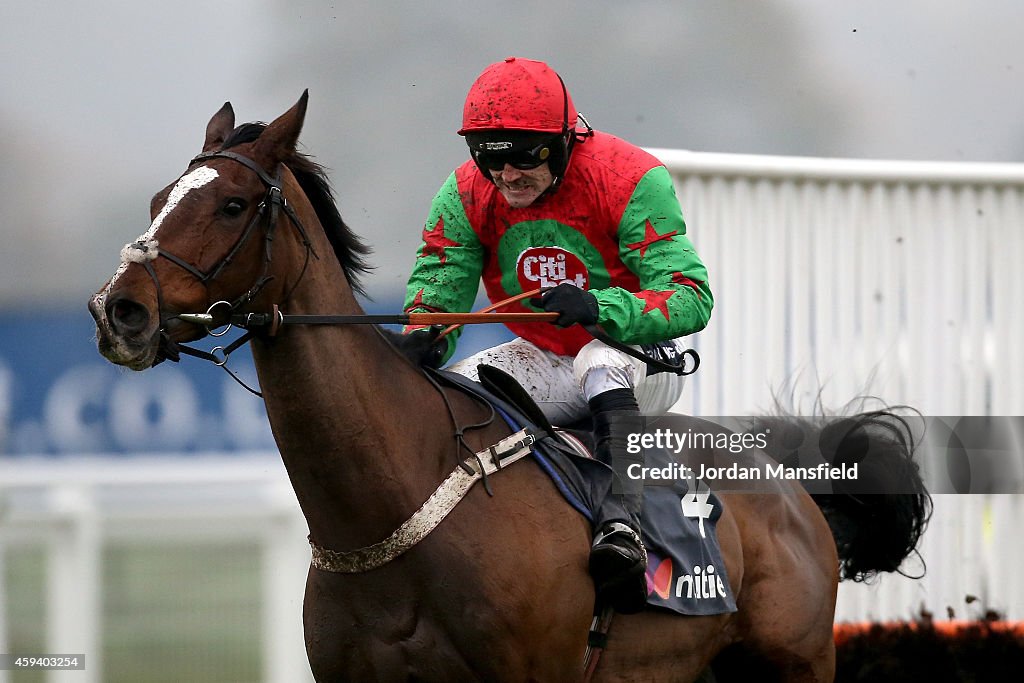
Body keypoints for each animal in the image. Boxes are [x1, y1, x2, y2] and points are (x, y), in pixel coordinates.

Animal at [92, 93, 933, 679]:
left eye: (232, 204)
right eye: (158, 201)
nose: (118, 309)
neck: (387, 508)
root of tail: (792, 486)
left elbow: (675, 287)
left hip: (794, 660)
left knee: (601, 361)